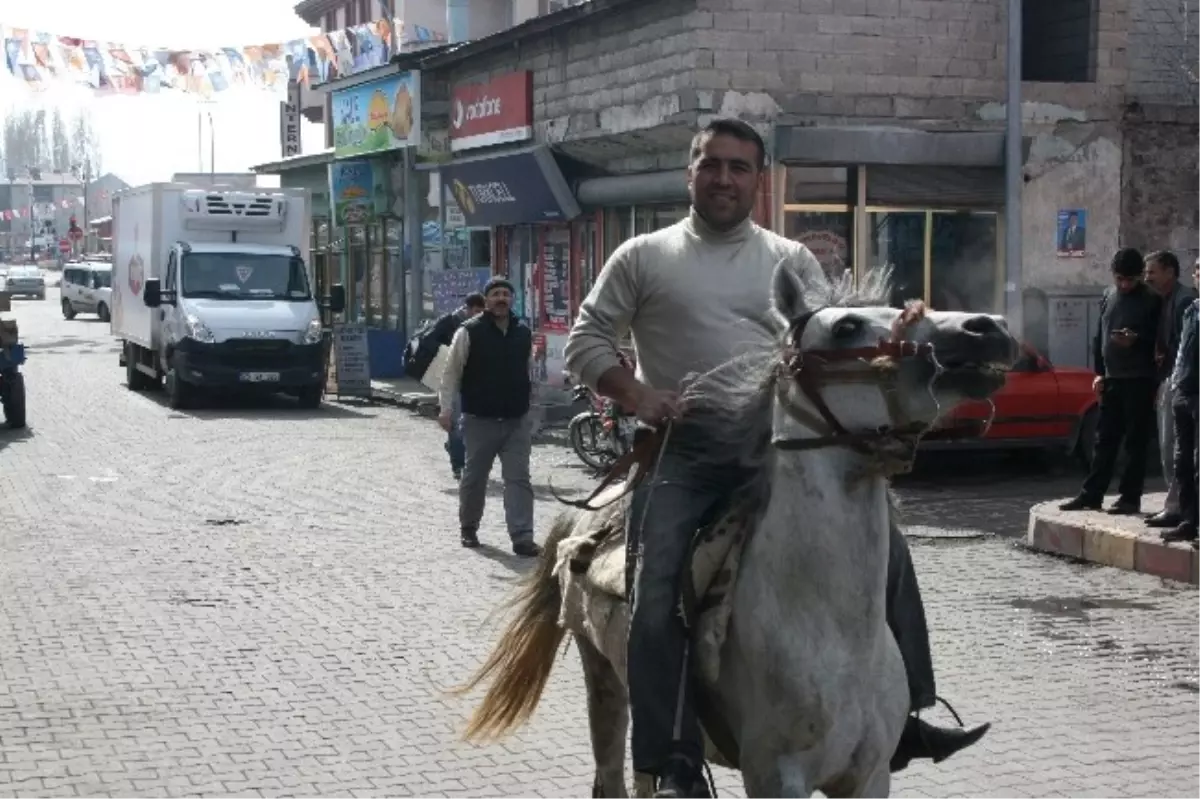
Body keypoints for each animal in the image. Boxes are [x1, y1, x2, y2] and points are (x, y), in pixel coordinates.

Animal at [453, 263, 1017, 796]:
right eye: (846, 327)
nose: (988, 327)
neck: (827, 630)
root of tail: (586, 518)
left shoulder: (870, 777)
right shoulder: (774, 775)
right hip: (605, 680)